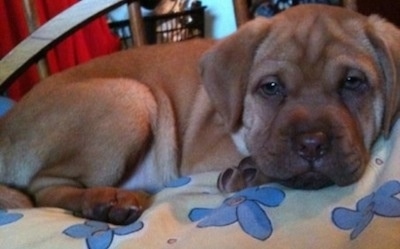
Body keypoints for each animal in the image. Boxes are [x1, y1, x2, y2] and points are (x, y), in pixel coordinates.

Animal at [0, 4, 400, 225]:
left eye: (353, 82)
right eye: (271, 87)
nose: (312, 145)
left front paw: (249, 172)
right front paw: (249, 172)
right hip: (132, 98)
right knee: (42, 188)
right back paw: (103, 201)